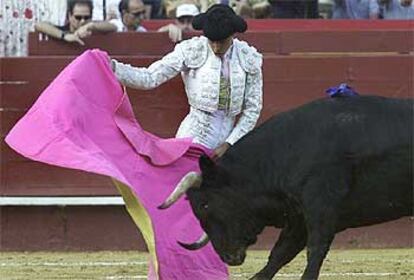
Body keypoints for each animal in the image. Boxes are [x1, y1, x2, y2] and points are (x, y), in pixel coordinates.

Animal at [158, 95, 410, 280]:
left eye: (205, 204)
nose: (227, 257)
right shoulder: (297, 217)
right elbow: (279, 255)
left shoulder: (321, 209)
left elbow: (314, 251)